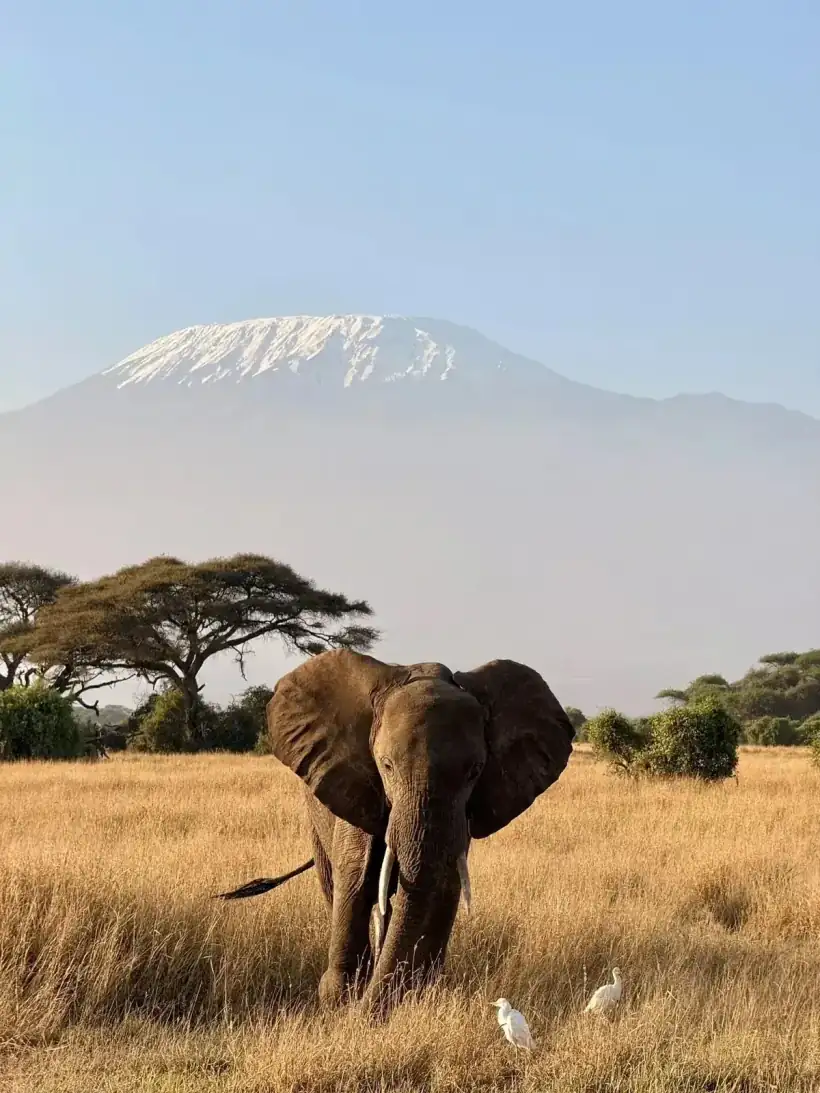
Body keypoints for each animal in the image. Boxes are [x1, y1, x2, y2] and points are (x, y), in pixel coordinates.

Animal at [218, 648, 575, 1016]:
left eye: (475, 771)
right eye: (386, 765)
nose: (362, 1014)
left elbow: (443, 888)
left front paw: (412, 996)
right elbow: (357, 882)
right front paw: (340, 1001)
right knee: (337, 884)